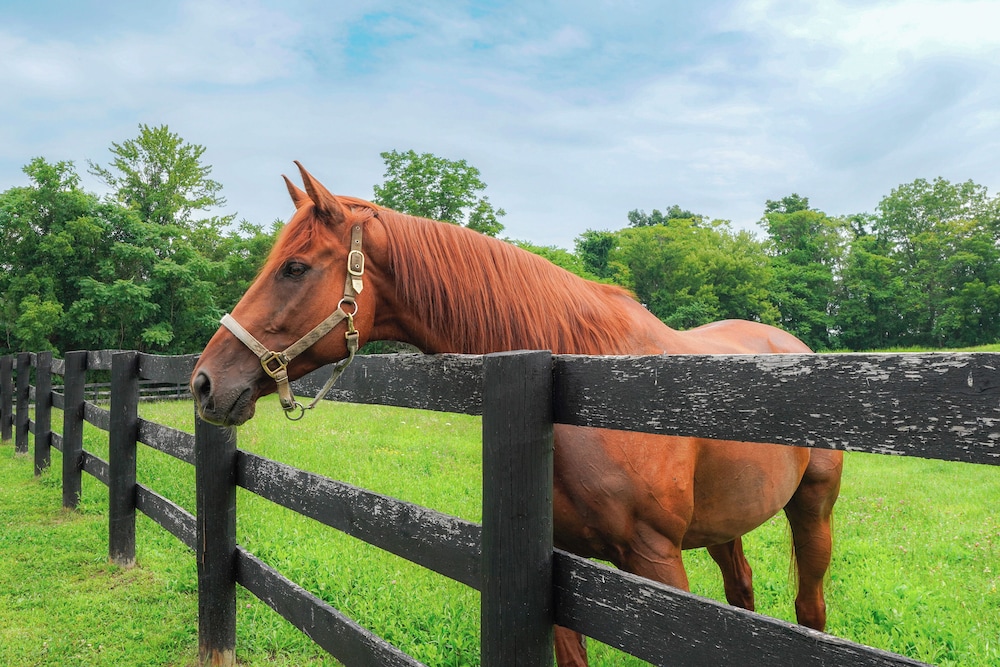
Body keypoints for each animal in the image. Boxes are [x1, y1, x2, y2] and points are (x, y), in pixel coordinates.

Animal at [191, 163, 843, 666]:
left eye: (294, 268)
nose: (204, 383)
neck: (577, 387)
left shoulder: (656, 563)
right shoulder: (562, 568)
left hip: (812, 511)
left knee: (809, 609)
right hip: (724, 523)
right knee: (743, 593)